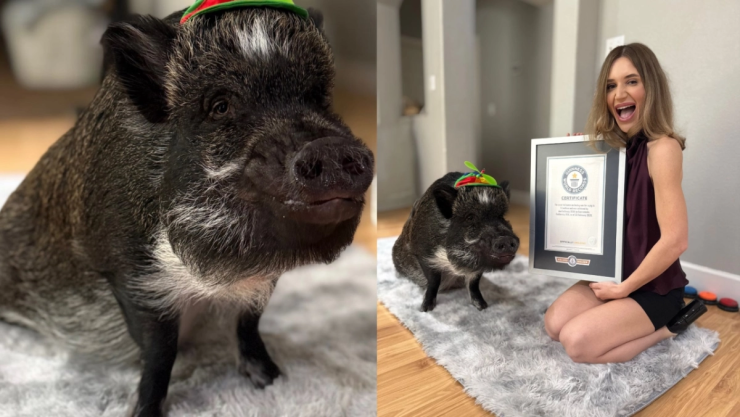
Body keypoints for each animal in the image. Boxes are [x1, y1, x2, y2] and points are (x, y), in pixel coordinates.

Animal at [0, 7, 373, 417]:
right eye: (220, 106)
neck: (218, 276)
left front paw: (272, 381)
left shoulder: (261, 281)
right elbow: (160, 352)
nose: (328, 147)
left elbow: (248, 324)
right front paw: (143, 412)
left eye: (318, 97)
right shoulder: (130, 272)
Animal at [392, 172, 519, 312]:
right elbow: (433, 281)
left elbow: (474, 284)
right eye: (470, 217)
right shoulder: (423, 253)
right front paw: (426, 309)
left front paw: (482, 306)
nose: (505, 238)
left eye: (502, 216)